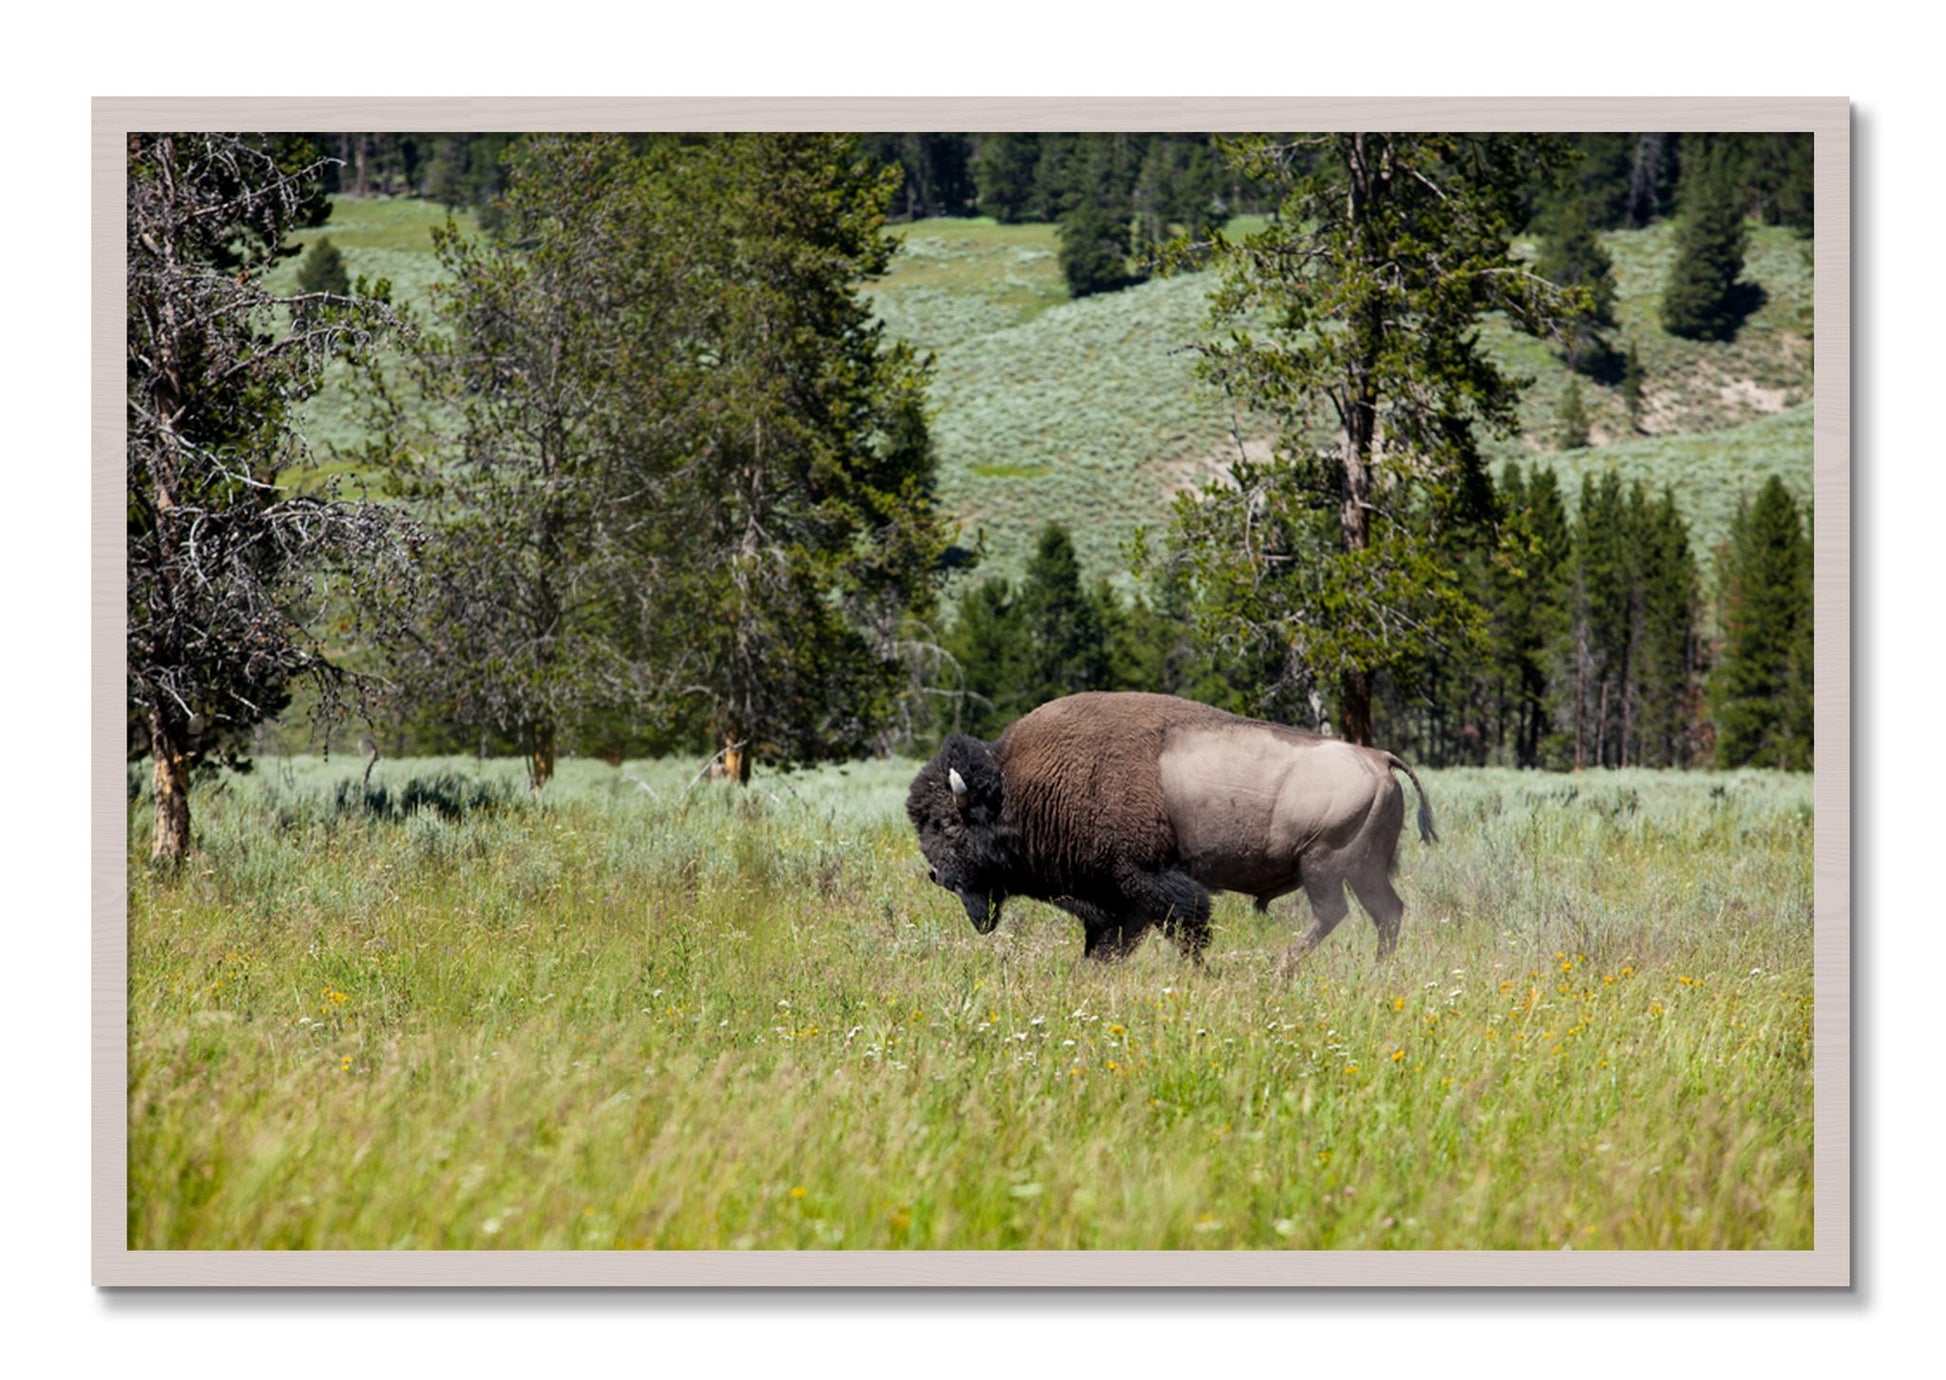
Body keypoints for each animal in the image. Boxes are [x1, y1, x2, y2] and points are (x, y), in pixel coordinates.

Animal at [906, 692, 1437, 967]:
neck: (1019, 787)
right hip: (1363, 870)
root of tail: (1378, 758)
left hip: (1323, 865)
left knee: (1334, 914)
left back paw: (1280, 970)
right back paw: (1376, 971)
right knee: (1387, 913)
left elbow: (1186, 928)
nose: (936, 875)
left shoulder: (1147, 881)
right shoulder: (1117, 900)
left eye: (949, 824)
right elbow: (1109, 945)